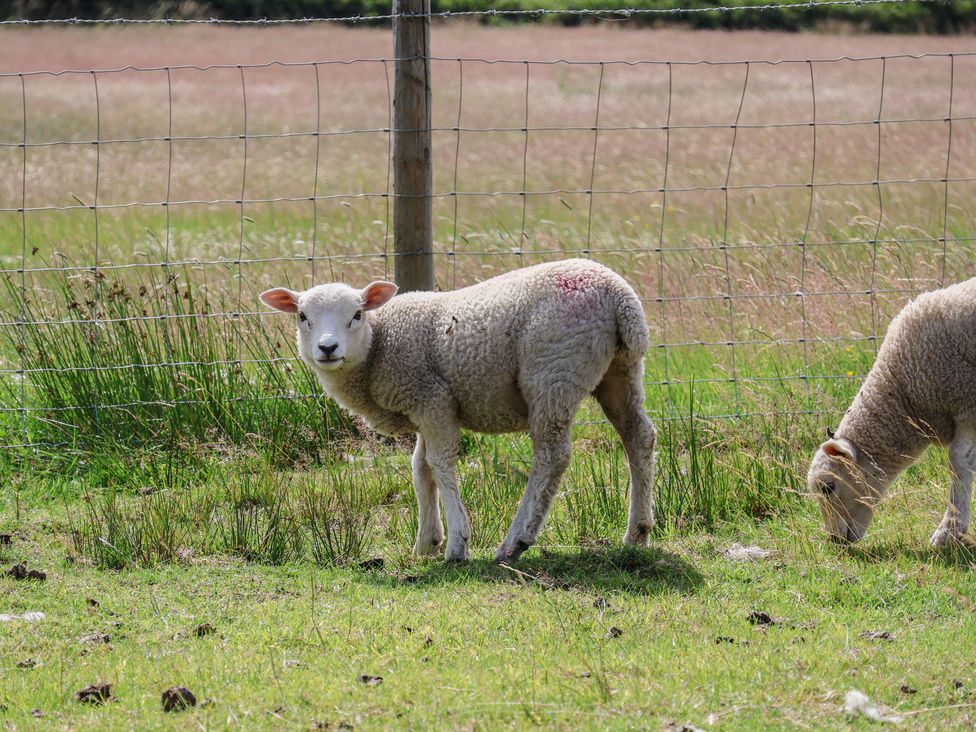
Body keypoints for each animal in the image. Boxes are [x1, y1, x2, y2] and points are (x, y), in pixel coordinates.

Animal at [260, 259, 656, 562]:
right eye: (302, 316)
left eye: (356, 315)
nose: (328, 348)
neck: (379, 346)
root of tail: (619, 296)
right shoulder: (425, 406)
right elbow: (420, 470)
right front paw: (426, 543)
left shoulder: (432, 397)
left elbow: (440, 464)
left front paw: (456, 545)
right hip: (619, 371)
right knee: (639, 437)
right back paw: (637, 532)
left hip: (553, 372)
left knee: (551, 457)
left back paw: (515, 542)